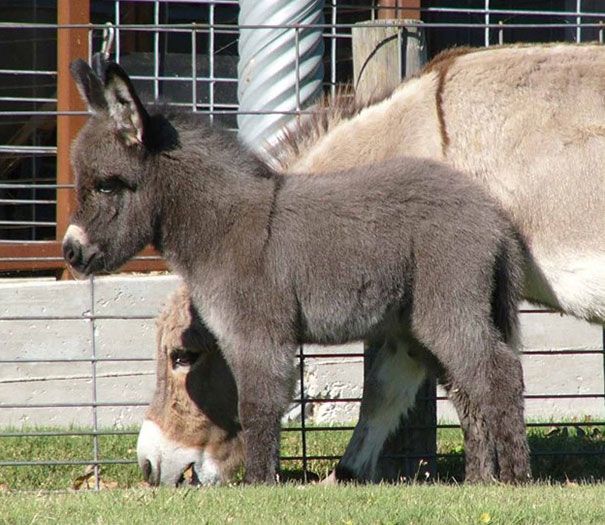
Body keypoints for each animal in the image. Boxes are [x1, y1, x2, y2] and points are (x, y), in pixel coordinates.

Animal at [62, 56, 528, 484]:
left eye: (107, 185)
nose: (70, 252)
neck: (223, 225)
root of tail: (491, 214)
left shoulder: (257, 334)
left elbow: (257, 407)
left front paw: (260, 486)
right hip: (425, 320)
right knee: (469, 391)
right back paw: (479, 481)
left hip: (448, 307)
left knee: (499, 375)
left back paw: (516, 478)